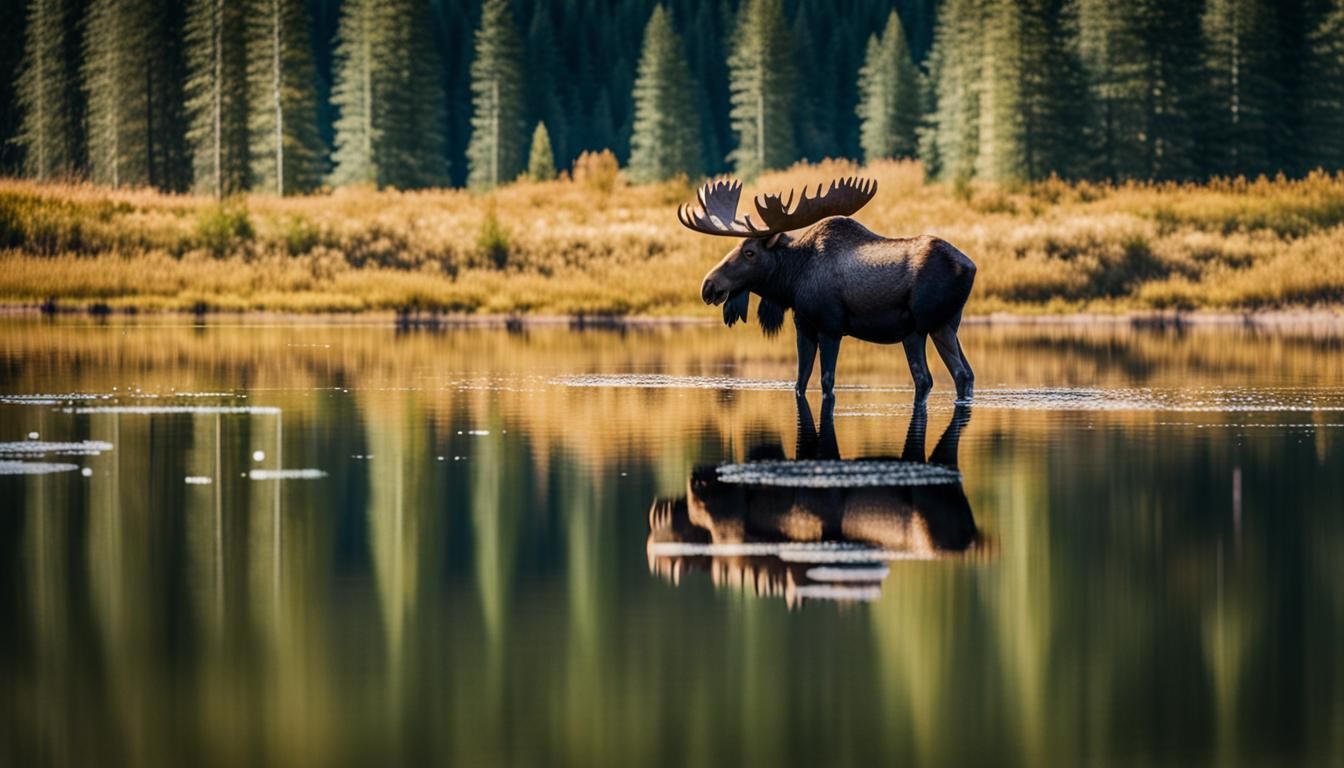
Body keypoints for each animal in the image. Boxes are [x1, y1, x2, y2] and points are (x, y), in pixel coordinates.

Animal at [679, 177, 976, 403]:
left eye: (749, 252)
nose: (709, 285)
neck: (792, 282)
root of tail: (971, 268)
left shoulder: (830, 327)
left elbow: (827, 382)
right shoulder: (804, 327)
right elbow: (800, 380)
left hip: (923, 326)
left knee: (938, 376)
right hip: (948, 324)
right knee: (966, 373)